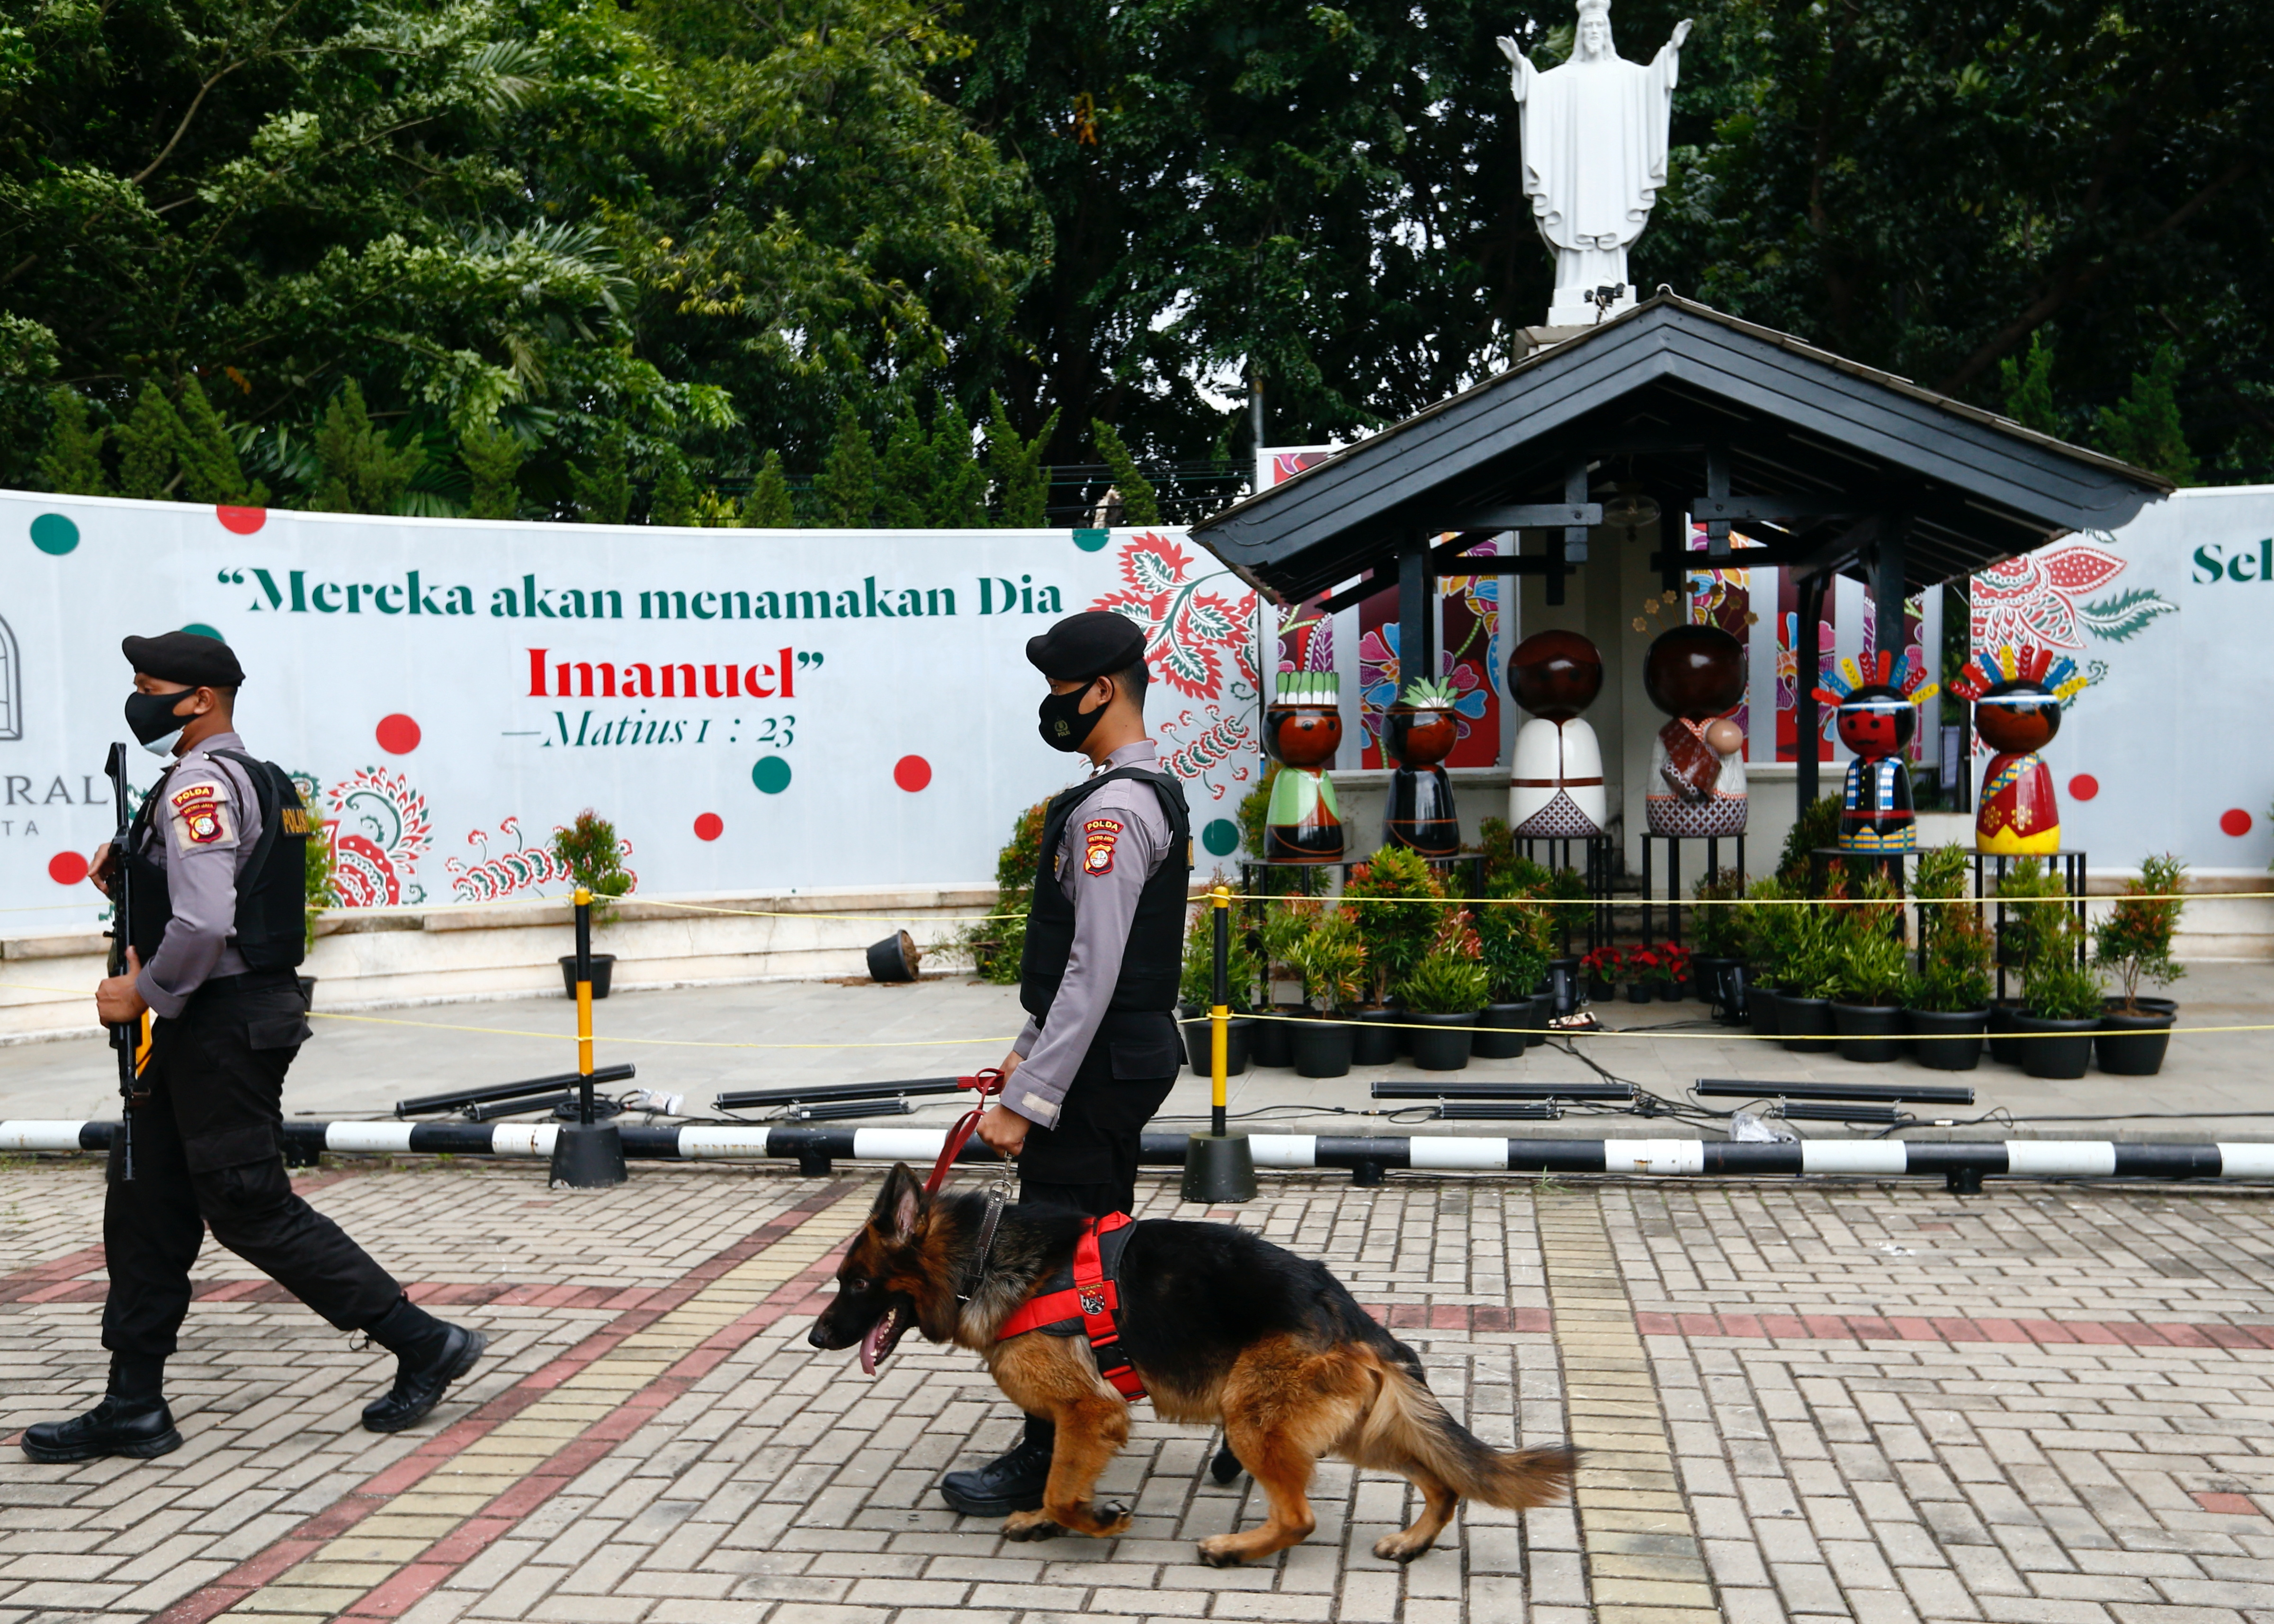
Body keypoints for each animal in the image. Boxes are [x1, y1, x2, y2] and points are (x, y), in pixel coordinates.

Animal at [809, 1173, 1573, 1565]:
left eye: (855, 1283)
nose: (816, 1335)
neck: (984, 1257)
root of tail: (1349, 1313)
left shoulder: (1090, 1411)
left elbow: (1063, 1484)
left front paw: (1090, 1519)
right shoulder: (1082, 1419)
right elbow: (1058, 1477)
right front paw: (1045, 1517)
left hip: (1254, 1419)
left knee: (1300, 1517)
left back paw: (1234, 1547)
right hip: (1357, 1428)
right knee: (1444, 1480)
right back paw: (1413, 1539)